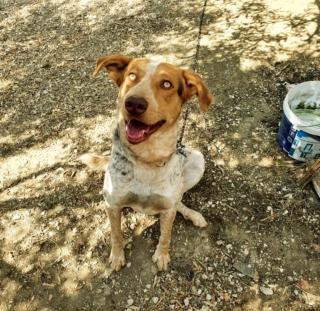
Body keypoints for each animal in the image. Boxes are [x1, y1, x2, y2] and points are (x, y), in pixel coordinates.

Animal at [81, 54, 214, 272]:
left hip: (197, 159)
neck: (146, 159)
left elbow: (166, 235)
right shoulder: (112, 204)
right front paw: (117, 257)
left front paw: (162, 256)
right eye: (132, 76)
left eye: (167, 84)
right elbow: (116, 234)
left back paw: (193, 215)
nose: (134, 103)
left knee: (179, 200)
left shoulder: (167, 209)